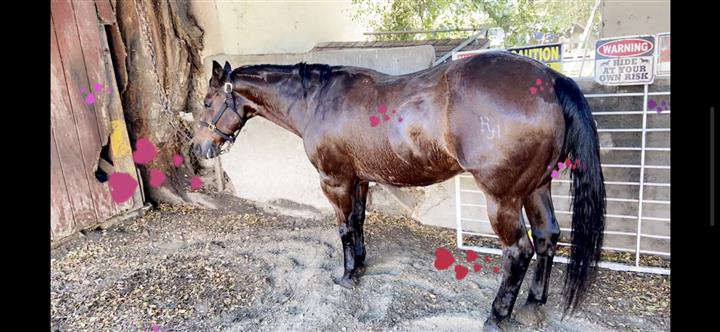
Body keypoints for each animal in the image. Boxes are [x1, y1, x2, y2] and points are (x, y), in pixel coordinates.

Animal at [193, 53, 608, 330]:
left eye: (208, 102)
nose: (199, 148)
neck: (317, 102)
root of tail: (550, 79)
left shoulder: (334, 180)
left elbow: (343, 227)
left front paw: (347, 275)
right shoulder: (359, 179)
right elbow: (358, 222)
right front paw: (360, 264)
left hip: (503, 198)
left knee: (519, 251)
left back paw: (497, 314)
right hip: (536, 188)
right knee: (547, 237)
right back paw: (533, 303)